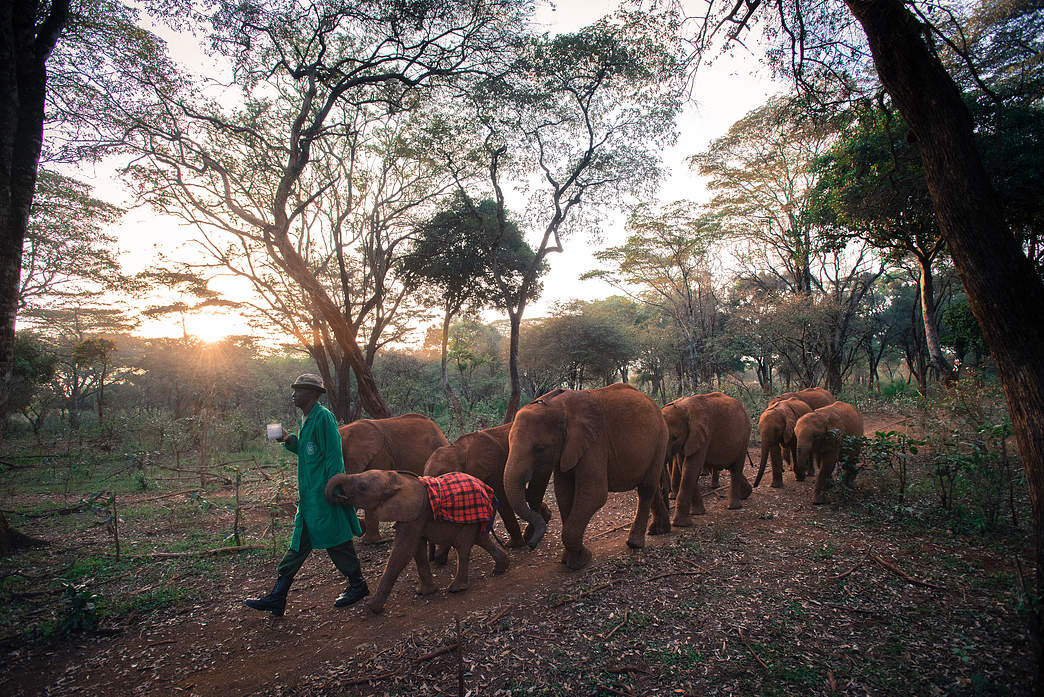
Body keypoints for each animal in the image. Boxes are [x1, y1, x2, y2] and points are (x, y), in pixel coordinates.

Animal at [325, 469, 508, 614]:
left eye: (362, 486)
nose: (339, 496)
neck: (397, 479)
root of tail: (488, 491)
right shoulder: (413, 516)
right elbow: (417, 550)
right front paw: (424, 592)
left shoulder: (417, 514)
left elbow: (403, 552)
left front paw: (371, 608)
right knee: (480, 539)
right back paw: (500, 569)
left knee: (463, 548)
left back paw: (457, 588)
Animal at [423, 423, 552, 560]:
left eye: (441, 476)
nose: (433, 558)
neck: (457, 450)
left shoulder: (495, 466)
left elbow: (503, 498)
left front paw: (514, 545)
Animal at [504, 383, 670, 570]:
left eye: (540, 448)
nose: (531, 545)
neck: (557, 406)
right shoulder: (567, 448)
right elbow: (564, 493)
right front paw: (569, 559)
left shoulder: (595, 442)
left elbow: (594, 493)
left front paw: (580, 561)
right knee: (650, 486)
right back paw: (660, 531)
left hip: (660, 438)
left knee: (646, 488)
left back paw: (635, 544)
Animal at [661, 392, 752, 525]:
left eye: (674, 438)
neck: (682, 407)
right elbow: (685, 467)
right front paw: (698, 513)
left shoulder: (703, 434)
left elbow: (691, 468)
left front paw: (679, 524)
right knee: (732, 467)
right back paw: (746, 494)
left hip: (744, 437)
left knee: (736, 468)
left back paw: (733, 506)